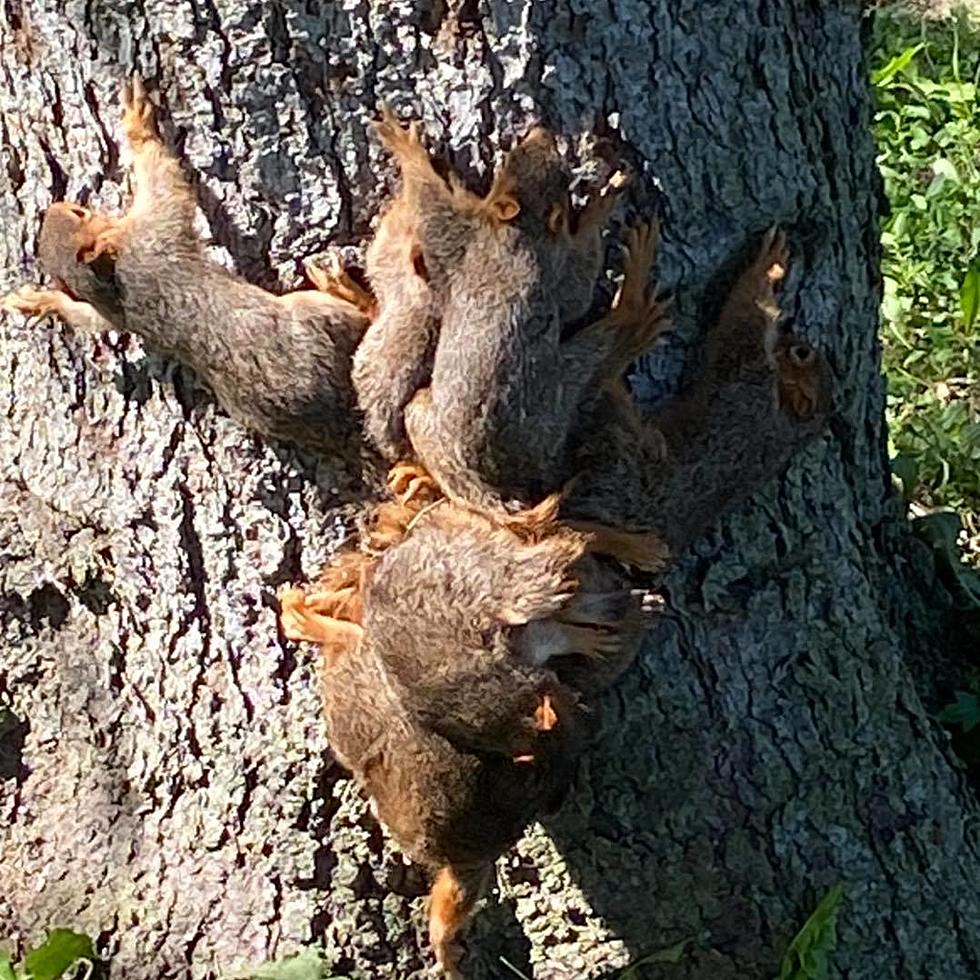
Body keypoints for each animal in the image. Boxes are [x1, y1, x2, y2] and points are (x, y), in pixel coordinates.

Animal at [0, 75, 372, 460]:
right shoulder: (157, 229)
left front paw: (44, 301)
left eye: (76, 213)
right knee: (360, 318)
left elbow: (88, 318)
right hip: (316, 320)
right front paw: (138, 124)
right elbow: (164, 179)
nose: (52, 207)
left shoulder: (115, 305)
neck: (112, 272)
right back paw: (345, 289)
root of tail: (334, 422)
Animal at [350, 105, 668, 512]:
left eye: (556, 171)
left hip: (548, 397)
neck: (519, 235)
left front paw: (406, 146)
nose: (542, 130)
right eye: (515, 160)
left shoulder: (468, 242)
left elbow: (432, 204)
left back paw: (633, 308)